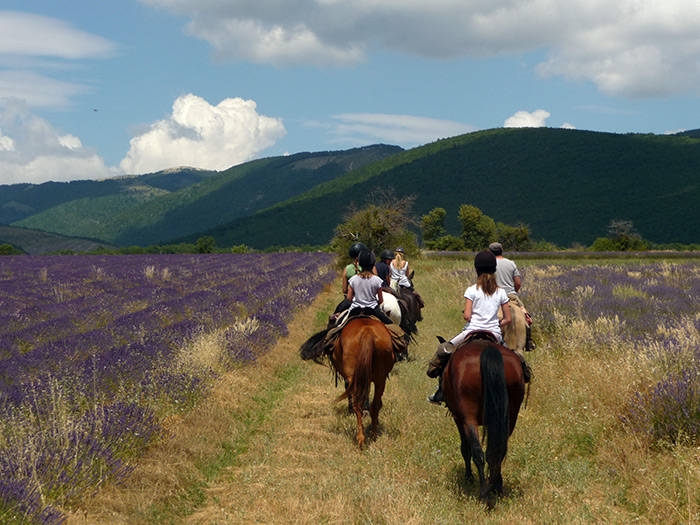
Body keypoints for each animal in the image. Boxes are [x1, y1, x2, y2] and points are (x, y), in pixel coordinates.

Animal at [442, 338, 524, 506]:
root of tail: (487, 349)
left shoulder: (458, 418)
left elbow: (465, 448)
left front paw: (468, 478)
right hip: (509, 417)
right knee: (498, 450)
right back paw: (496, 487)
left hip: (468, 418)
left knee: (478, 453)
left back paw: (485, 495)